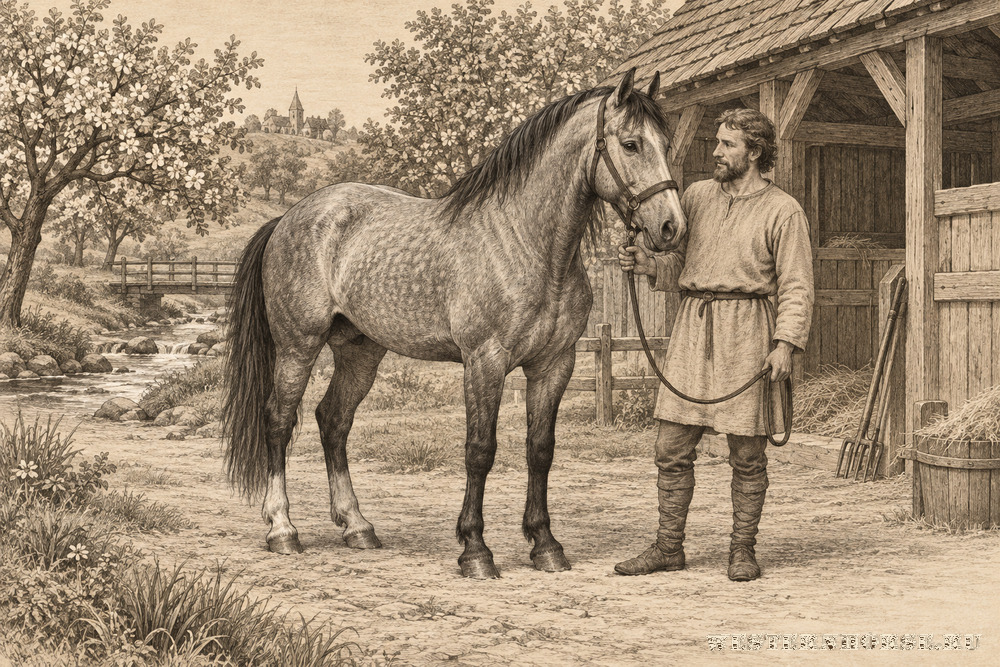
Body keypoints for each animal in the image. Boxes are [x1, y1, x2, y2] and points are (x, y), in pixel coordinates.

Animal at [221, 68, 686, 579]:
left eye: (666, 142)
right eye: (631, 144)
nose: (672, 228)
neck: (524, 242)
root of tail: (289, 216)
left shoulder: (553, 365)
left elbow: (540, 449)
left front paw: (545, 544)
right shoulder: (484, 361)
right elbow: (479, 450)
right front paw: (475, 550)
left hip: (359, 350)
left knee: (333, 420)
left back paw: (357, 526)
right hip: (297, 346)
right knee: (279, 421)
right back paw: (282, 529)